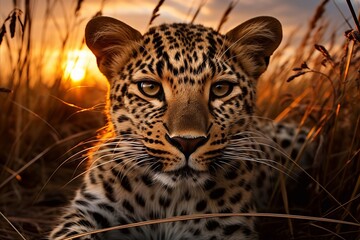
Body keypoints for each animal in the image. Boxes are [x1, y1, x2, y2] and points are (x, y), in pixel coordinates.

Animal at [50, 15, 316, 239]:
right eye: (150, 88)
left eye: (221, 89)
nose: (188, 142)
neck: (168, 198)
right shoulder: (90, 209)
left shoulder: (228, 227)